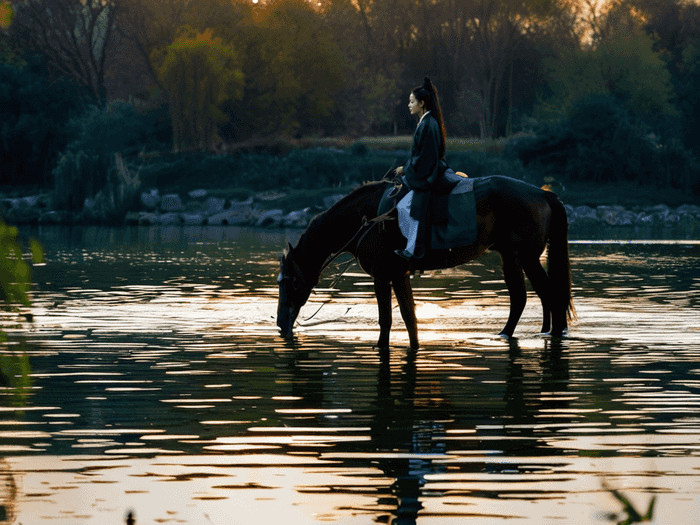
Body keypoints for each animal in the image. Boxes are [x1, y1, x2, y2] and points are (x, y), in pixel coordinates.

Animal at [276, 176, 576, 348]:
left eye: (290, 281)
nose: (280, 323)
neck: (366, 219)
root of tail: (544, 194)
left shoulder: (381, 276)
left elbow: (386, 320)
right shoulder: (399, 275)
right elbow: (410, 317)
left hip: (524, 257)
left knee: (545, 296)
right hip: (515, 257)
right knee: (531, 297)